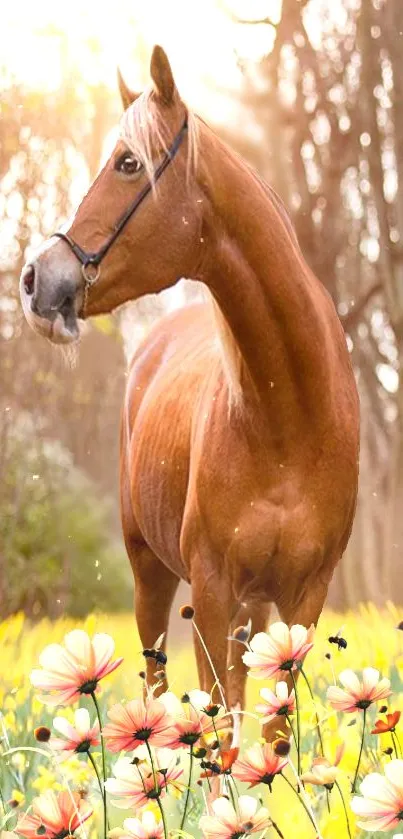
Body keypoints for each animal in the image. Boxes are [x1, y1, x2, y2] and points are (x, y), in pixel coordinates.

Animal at [19, 47, 360, 740]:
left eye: (128, 163)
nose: (36, 279)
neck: (287, 415)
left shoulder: (303, 598)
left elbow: (272, 731)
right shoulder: (209, 590)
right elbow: (221, 730)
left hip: (252, 608)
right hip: (152, 576)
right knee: (157, 681)